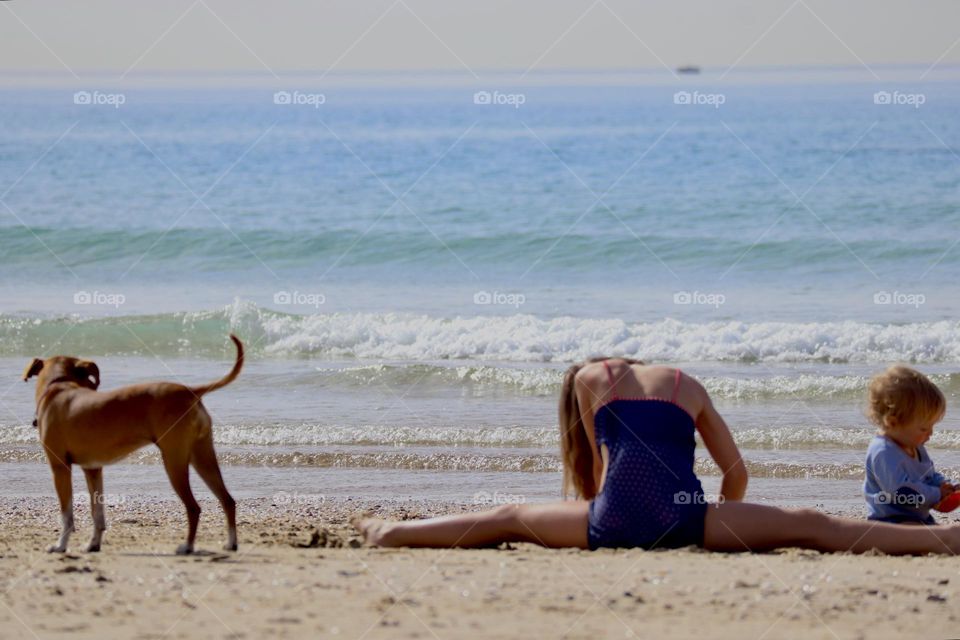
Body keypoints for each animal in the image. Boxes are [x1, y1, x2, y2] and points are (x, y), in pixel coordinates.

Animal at [24, 336, 244, 556]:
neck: (60, 385)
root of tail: (190, 392)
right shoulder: (93, 469)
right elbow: (97, 513)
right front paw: (93, 544)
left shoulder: (60, 468)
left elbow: (67, 516)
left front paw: (60, 545)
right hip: (203, 457)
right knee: (227, 500)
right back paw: (231, 543)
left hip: (174, 461)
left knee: (194, 507)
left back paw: (187, 546)